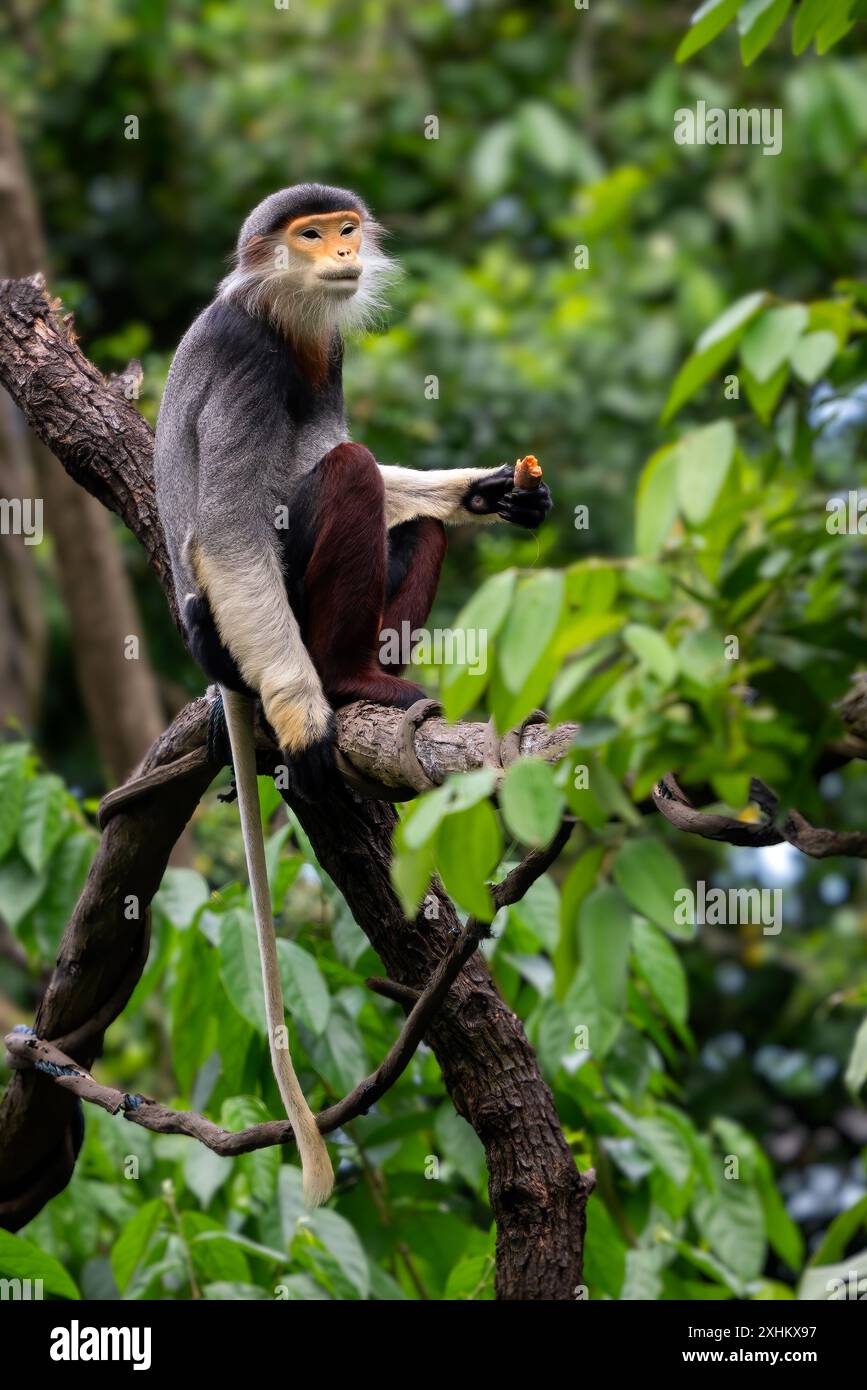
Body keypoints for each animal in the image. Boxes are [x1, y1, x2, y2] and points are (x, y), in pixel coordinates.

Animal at [153, 184, 552, 1206]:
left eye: (341, 228)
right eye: (310, 235)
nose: (341, 253)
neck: (283, 314)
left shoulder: (326, 355)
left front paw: (489, 490)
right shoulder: (249, 362)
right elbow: (232, 528)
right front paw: (305, 721)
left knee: (399, 512)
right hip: (249, 627)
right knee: (350, 473)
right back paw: (341, 686)